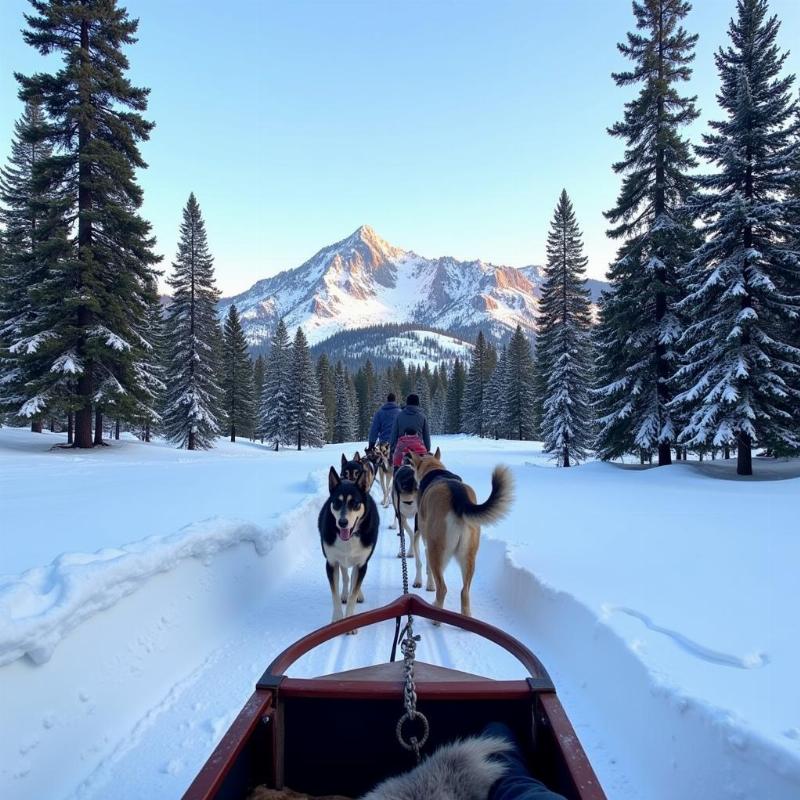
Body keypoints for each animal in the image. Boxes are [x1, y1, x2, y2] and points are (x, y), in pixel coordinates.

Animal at [318, 468, 380, 632]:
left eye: (356, 504)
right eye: (337, 503)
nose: (342, 522)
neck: (350, 537)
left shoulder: (362, 563)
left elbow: (354, 591)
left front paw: (350, 622)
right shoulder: (331, 563)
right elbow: (335, 594)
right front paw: (337, 620)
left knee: (353, 578)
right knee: (346, 575)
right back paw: (345, 593)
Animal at [410, 450, 516, 620]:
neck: (434, 469)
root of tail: (458, 497)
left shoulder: (426, 541)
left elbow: (425, 564)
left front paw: (428, 584)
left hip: (436, 551)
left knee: (442, 588)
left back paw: (436, 616)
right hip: (469, 556)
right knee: (464, 591)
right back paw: (465, 617)